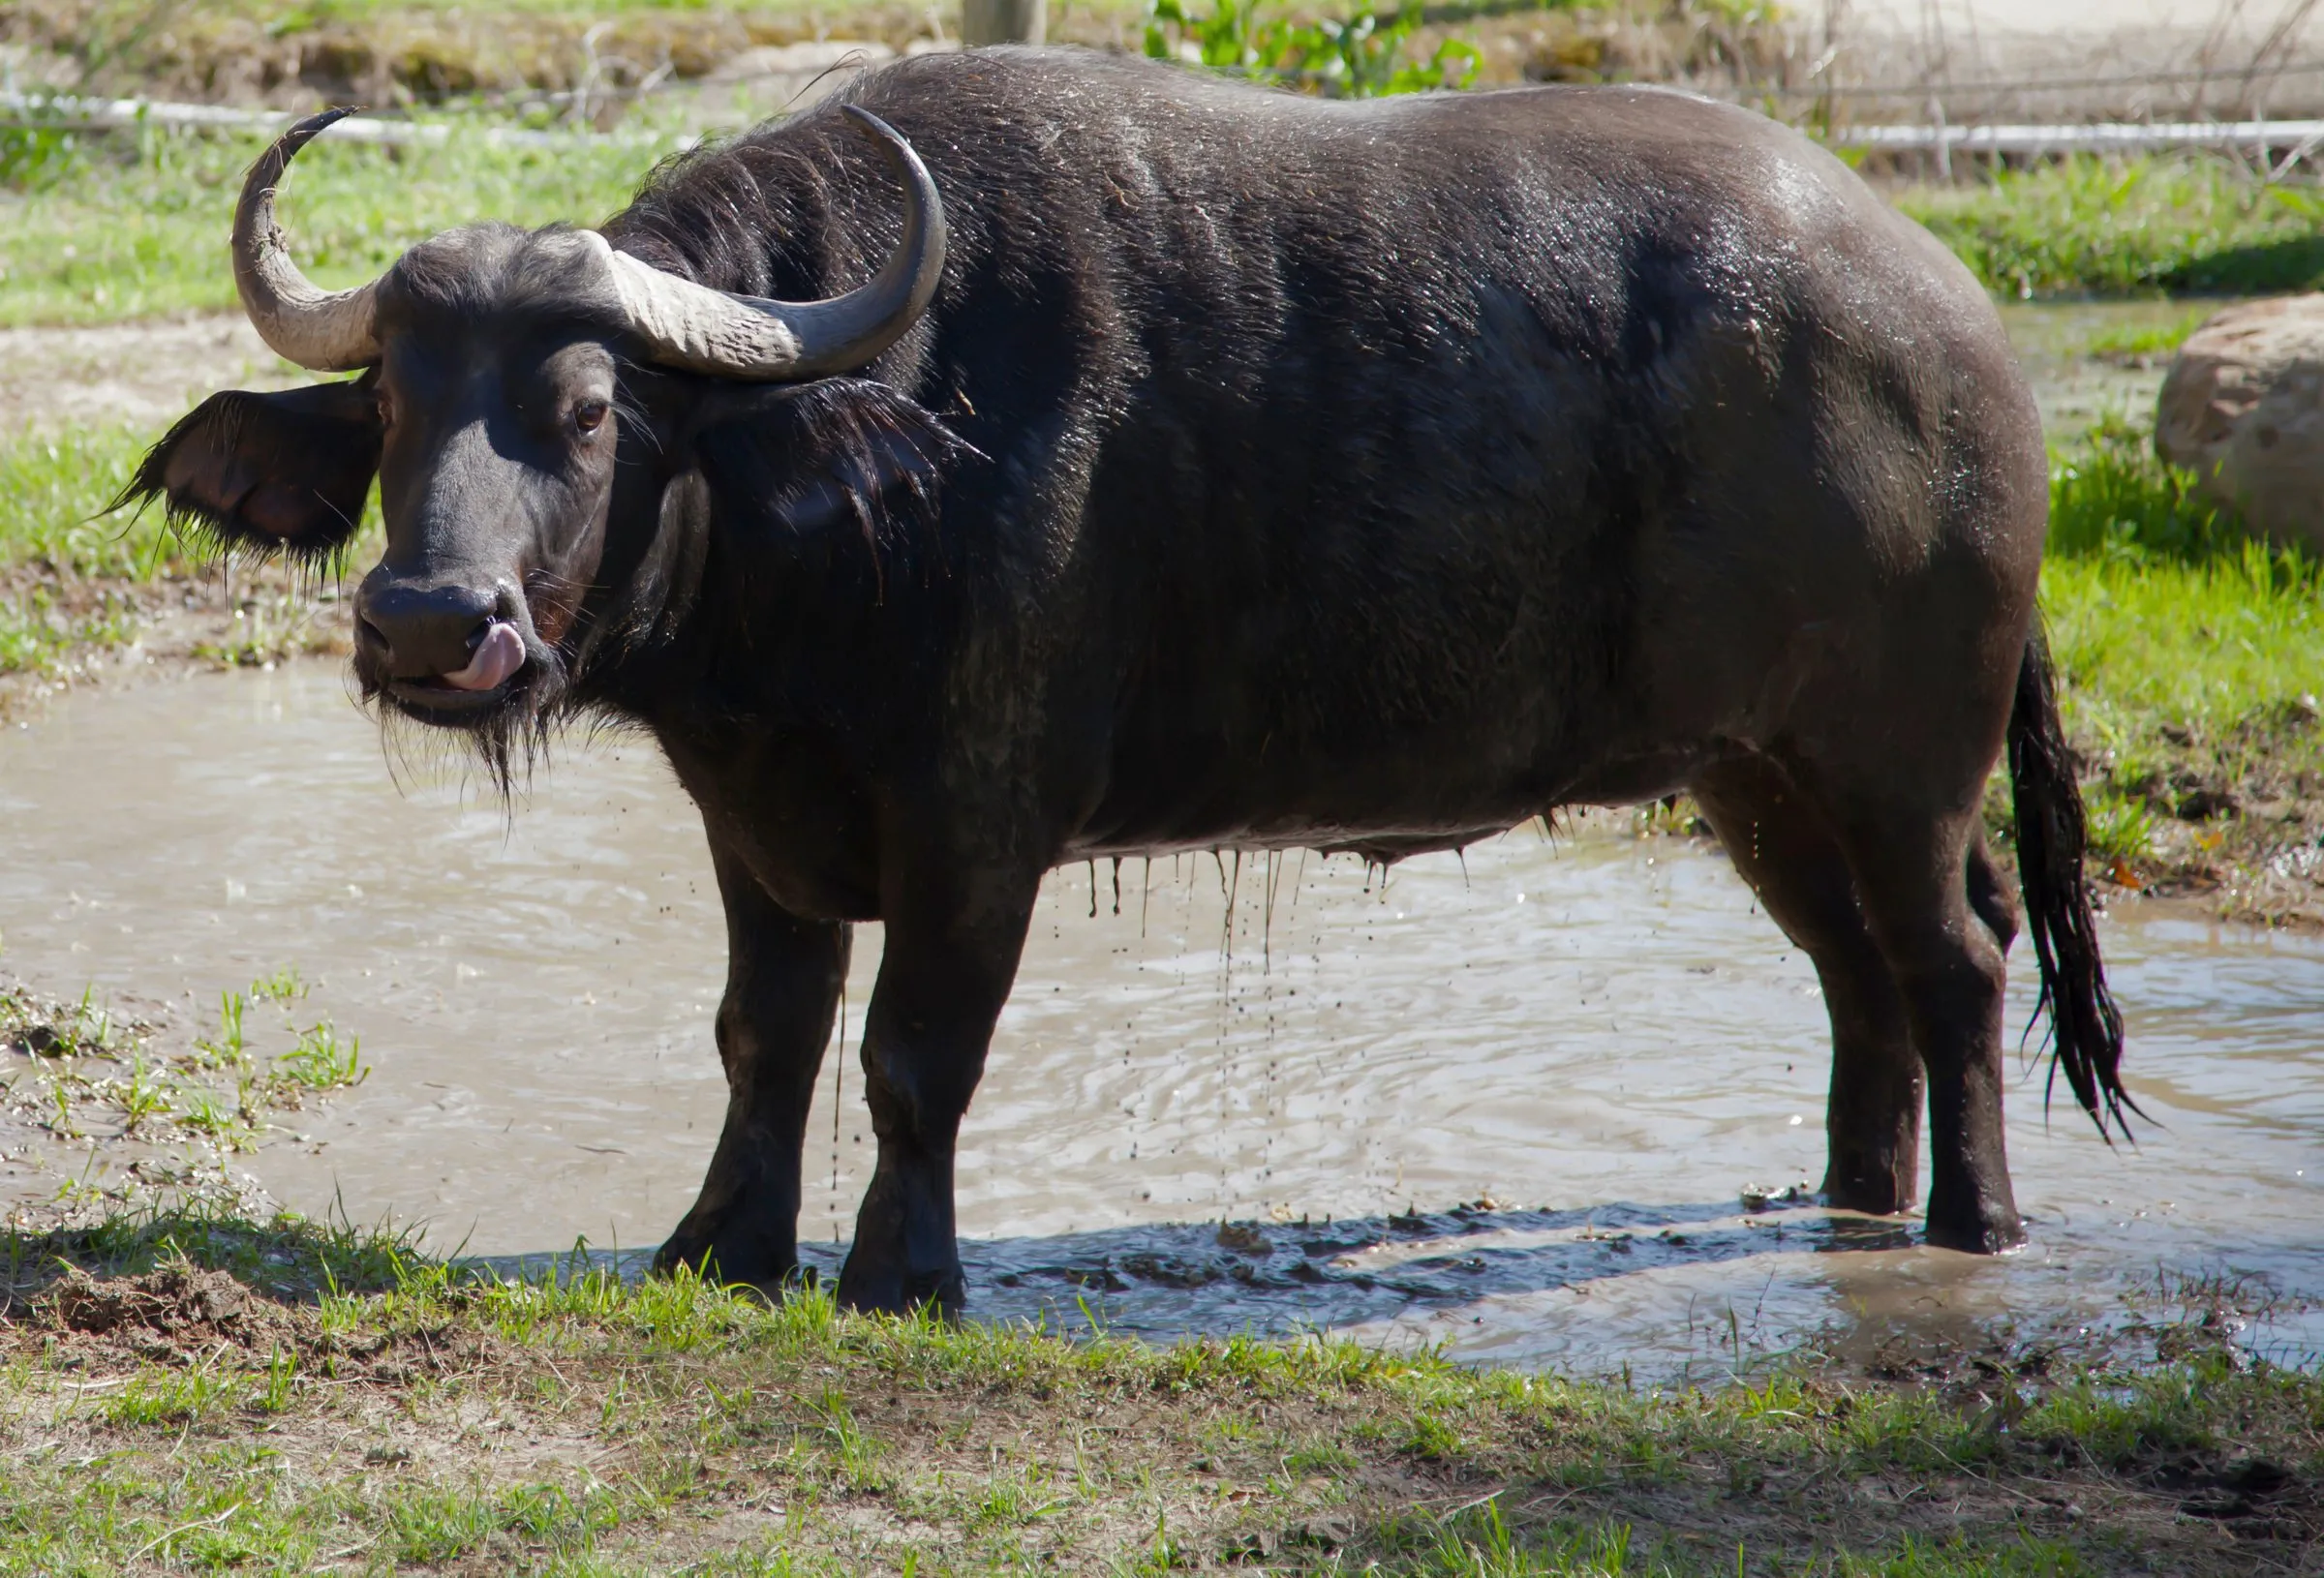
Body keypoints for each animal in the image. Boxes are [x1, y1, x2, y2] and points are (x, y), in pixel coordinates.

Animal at [126, 48, 2130, 1314]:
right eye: (393, 404)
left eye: (589, 411)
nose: (424, 623)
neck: (855, 472)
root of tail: (1957, 335)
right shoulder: (753, 820)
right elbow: (766, 1038)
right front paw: (719, 1245)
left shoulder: (979, 823)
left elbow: (914, 1054)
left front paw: (901, 1277)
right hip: (1752, 769)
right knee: (1860, 980)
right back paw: (1849, 1204)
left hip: (1900, 753)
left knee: (1958, 961)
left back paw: (1973, 1228)